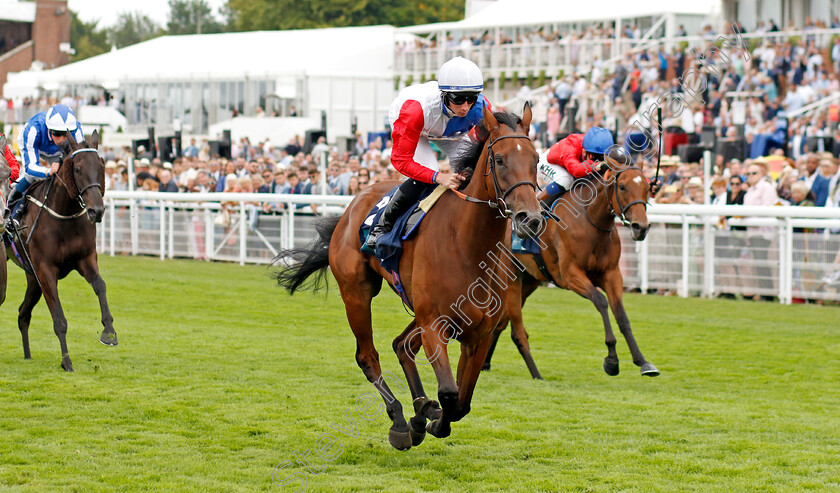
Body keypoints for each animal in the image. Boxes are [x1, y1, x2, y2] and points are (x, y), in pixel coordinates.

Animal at [6, 131, 117, 368]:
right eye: (77, 169)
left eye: (101, 166)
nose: (97, 211)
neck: (64, 214)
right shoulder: (46, 270)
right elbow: (59, 319)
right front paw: (67, 362)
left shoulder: (85, 259)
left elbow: (100, 286)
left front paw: (109, 332)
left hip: (32, 278)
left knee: (22, 314)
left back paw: (27, 355)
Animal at [272, 104, 540, 450]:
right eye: (501, 160)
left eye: (536, 160)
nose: (530, 218)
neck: (468, 243)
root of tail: (352, 205)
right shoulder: (434, 324)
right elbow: (450, 393)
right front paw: (426, 421)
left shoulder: (478, 333)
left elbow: (462, 402)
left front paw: (427, 416)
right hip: (357, 293)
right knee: (367, 356)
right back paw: (400, 421)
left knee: (401, 345)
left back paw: (418, 411)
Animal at [482, 156, 660, 378]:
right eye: (623, 186)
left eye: (647, 187)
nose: (641, 227)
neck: (589, 220)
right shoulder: (570, 275)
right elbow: (600, 301)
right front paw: (611, 359)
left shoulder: (612, 274)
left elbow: (622, 316)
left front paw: (643, 362)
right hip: (510, 281)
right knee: (516, 331)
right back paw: (536, 374)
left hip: (529, 282)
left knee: (501, 324)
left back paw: (486, 363)